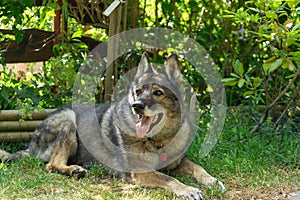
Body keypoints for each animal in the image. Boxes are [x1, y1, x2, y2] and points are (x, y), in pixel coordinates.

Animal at [0, 53, 225, 200]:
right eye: (138, 91)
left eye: (158, 93)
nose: (137, 106)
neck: (157, 141)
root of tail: (31, 144)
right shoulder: (141, 171)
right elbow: (167, 179)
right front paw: (188, 189)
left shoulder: (178, 162)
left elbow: (198, 168)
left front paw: (213, 181)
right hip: (69, 123)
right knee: (51, 165)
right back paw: (74, 170)